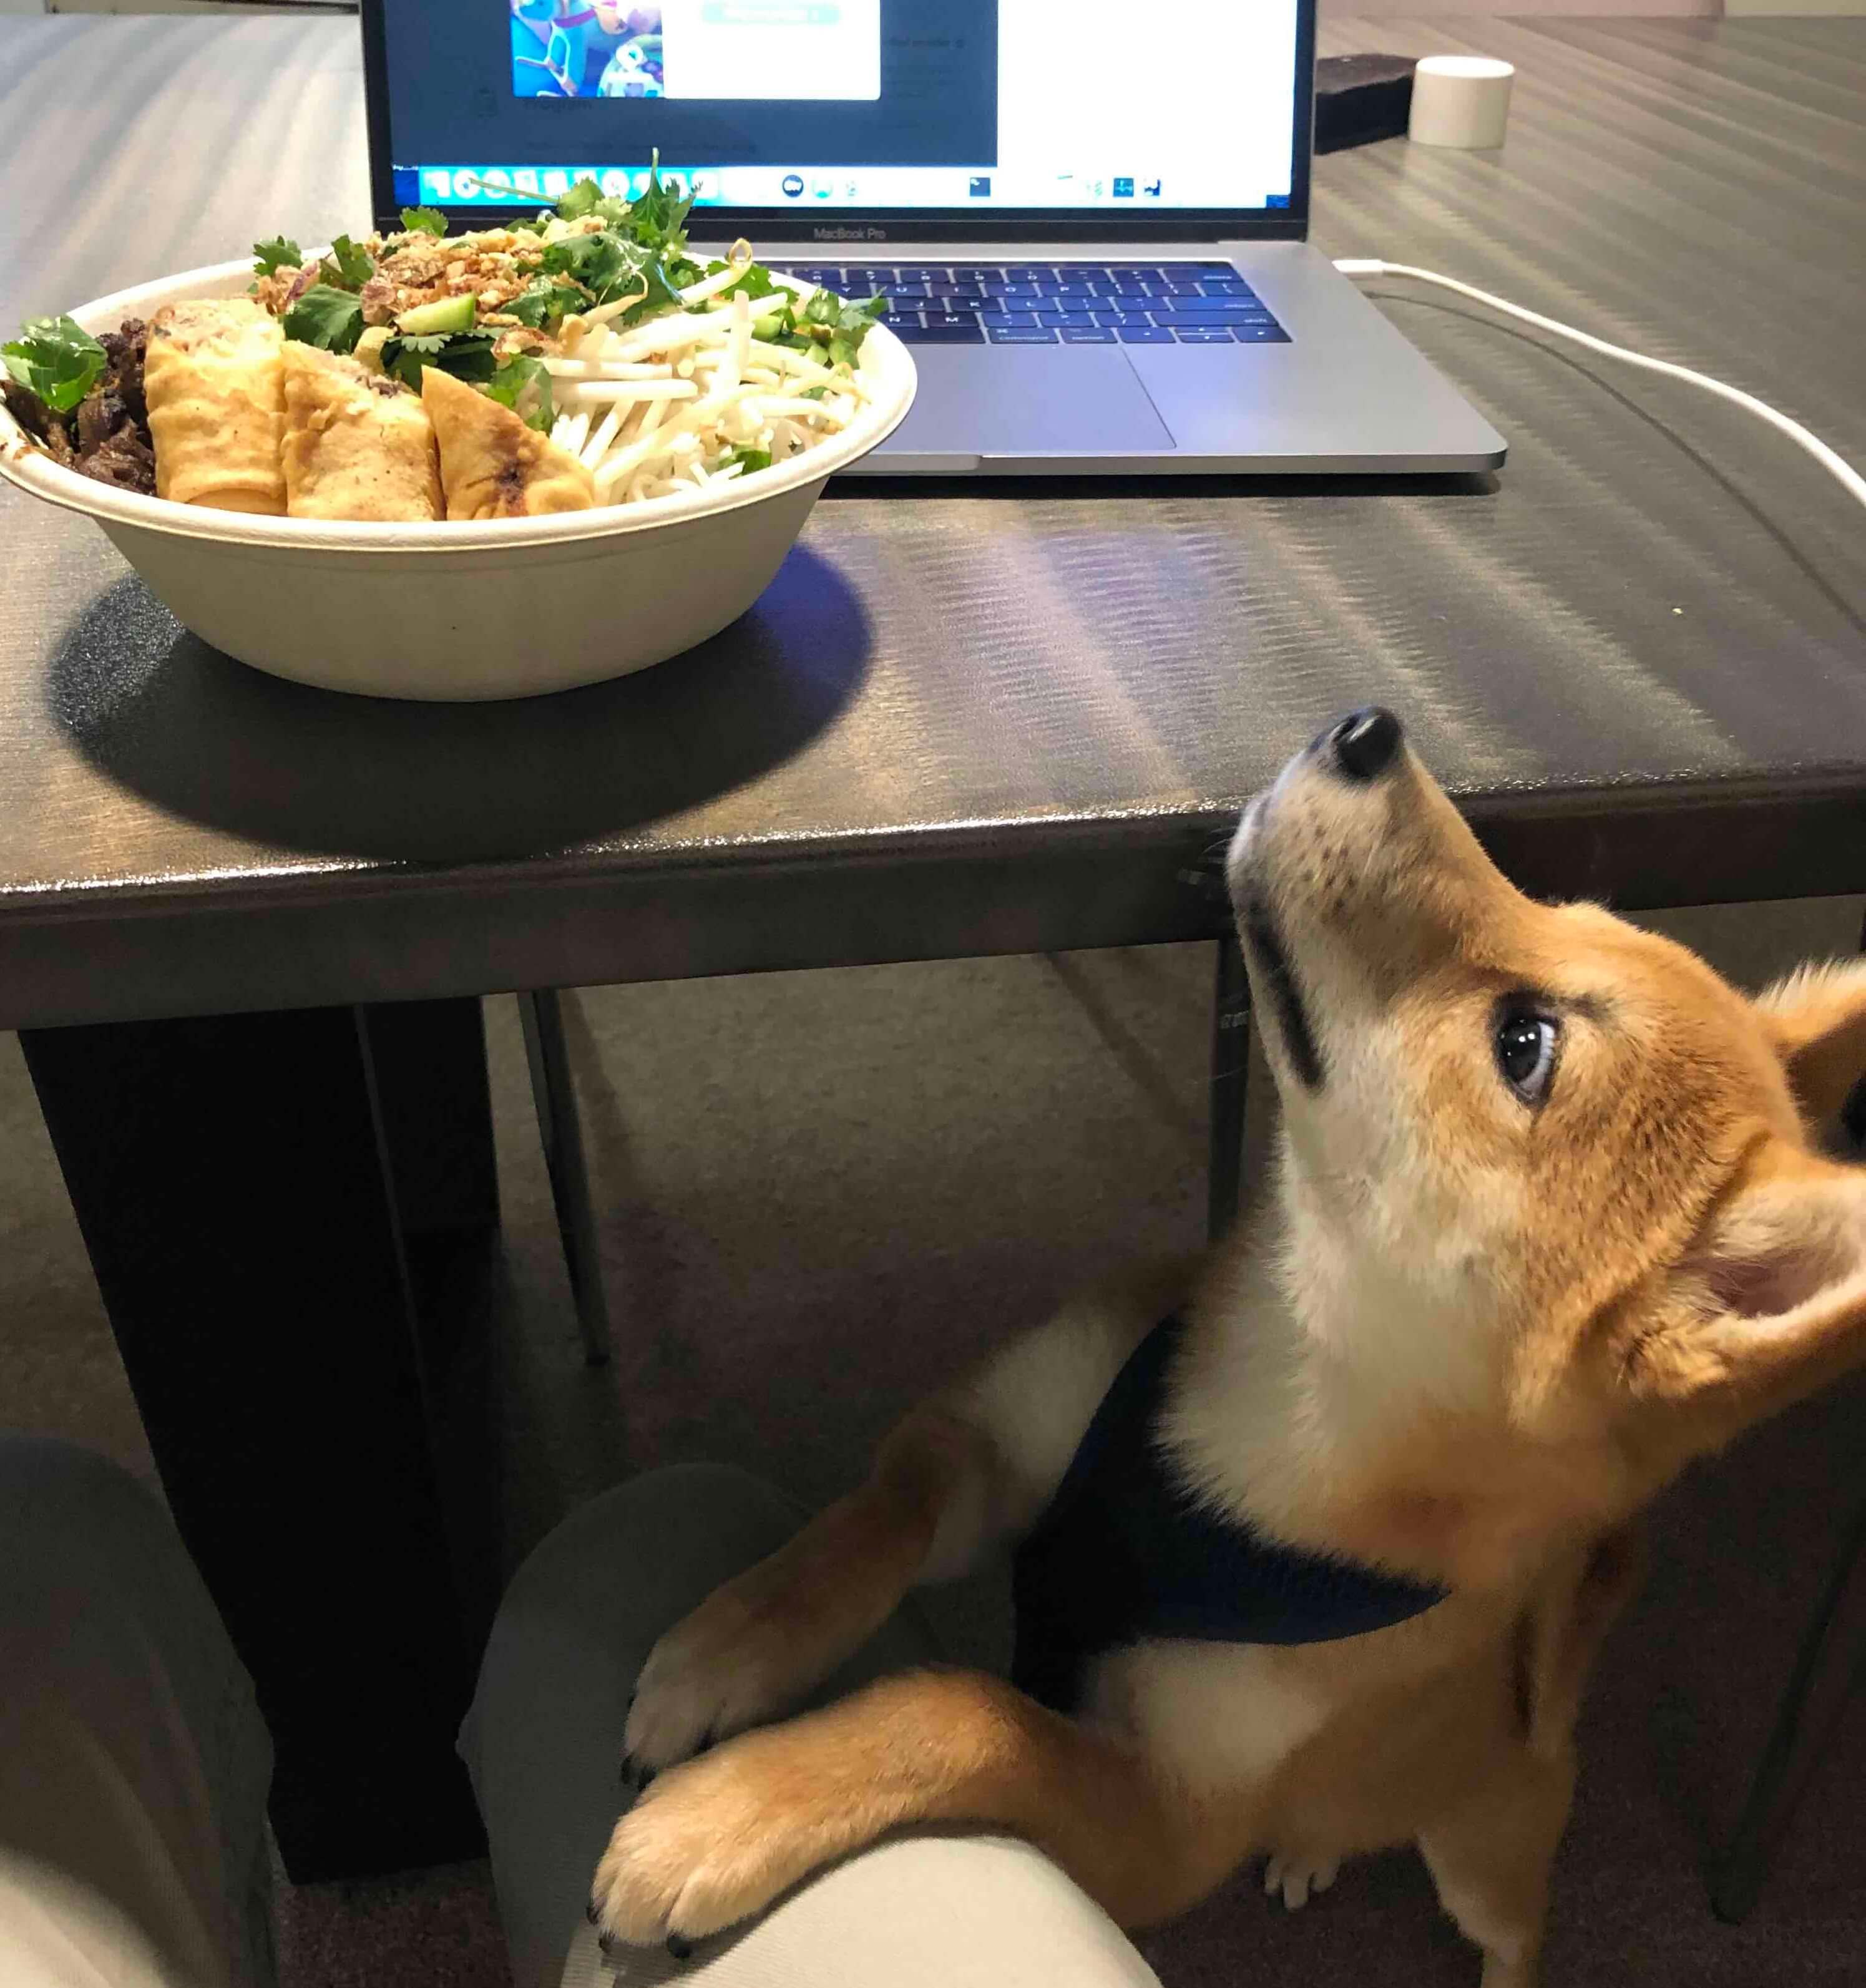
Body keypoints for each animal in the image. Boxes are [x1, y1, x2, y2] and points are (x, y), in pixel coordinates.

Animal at [589, 708, 1862, 1980]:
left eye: (1524, 1043)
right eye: (1557, 910)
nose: (1367, 729)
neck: (1247, 1423)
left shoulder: (1164, 1835)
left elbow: (961, 1712)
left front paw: (724, 1812)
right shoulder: (997, 1436)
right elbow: (864, 1526)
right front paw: (724, 1651)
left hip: (1485, 1849)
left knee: (1514, 1928)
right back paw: (1309, 1848)